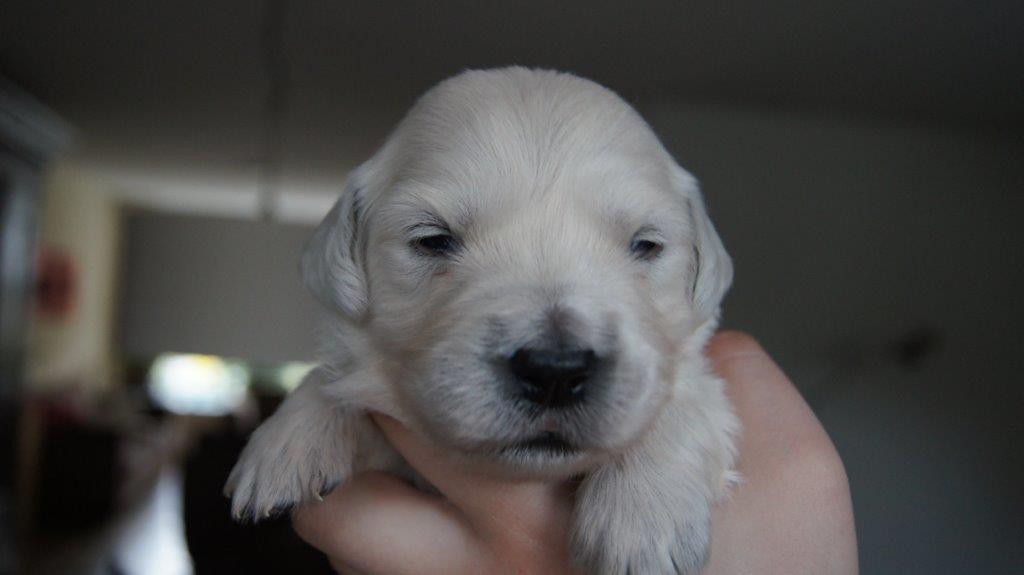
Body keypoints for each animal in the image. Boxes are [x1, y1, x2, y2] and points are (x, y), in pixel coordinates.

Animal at [226, 65, 737, 568]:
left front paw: (643, 519)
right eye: (433, 240)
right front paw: (290, 439)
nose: (555, 371)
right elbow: (346, 378)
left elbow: (688, 393)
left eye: (646, 245)